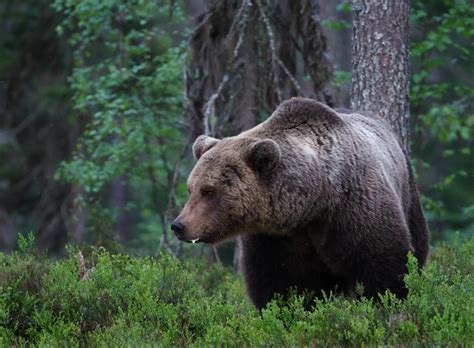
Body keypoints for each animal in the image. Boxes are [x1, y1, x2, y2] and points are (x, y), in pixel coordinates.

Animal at [171, 98, 430, 310]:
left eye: (209, 191)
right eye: (191, 188)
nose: (179, 225)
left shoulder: (353, 210)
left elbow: (384, 267)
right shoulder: (275, 239)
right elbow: (278, 285)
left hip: (408, 194)